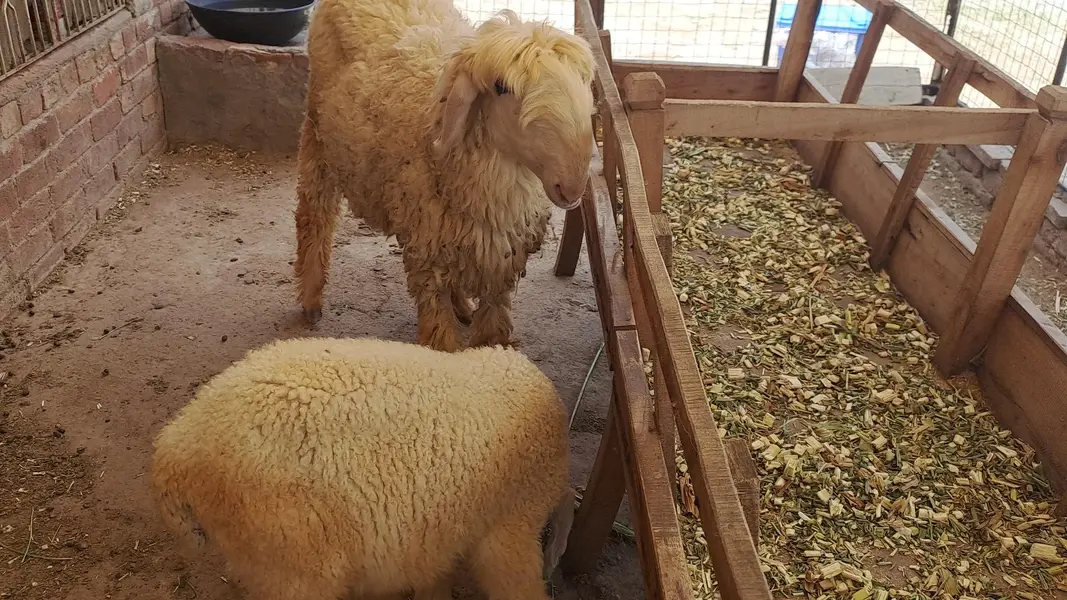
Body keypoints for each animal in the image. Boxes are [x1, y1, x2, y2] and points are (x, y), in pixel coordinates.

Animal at [292, 0, 597, 353]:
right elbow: (441, 340)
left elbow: (491, 329)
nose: (573, 184)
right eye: (501, 87)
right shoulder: (427, 261)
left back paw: (462, 307)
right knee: (315, 215)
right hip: (317, 137)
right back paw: (311, 298)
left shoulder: (499, 268)